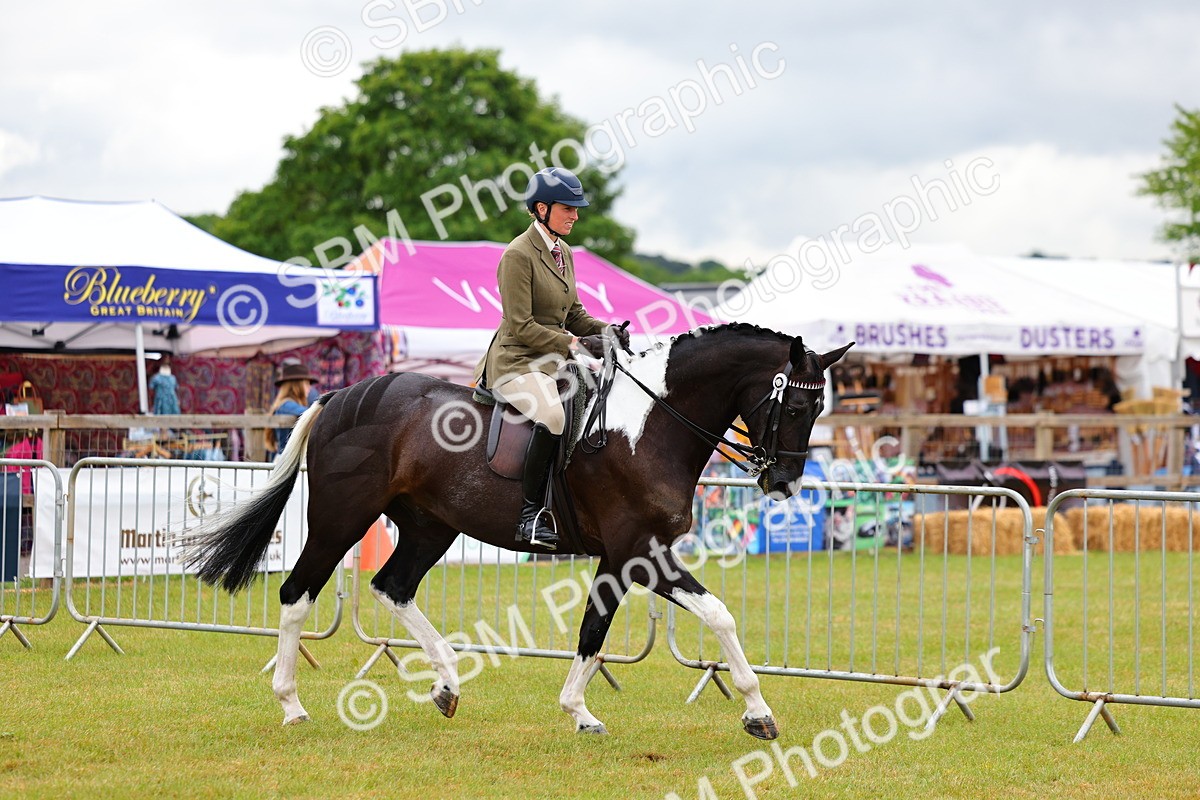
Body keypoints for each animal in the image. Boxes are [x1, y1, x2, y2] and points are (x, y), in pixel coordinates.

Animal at [181, 323, 852, 739]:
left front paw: (581, 711)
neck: (652, 424)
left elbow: (596, 631)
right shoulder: (640, 552)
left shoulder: (624, 557)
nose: (784, 482)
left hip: (430, 526)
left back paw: (447, 684)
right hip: (339, 519)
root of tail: (342, 394)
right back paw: (292, 705)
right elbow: (713, 616)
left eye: (820, 408)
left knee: (393, 587)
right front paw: (756, 712)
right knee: (298, 595)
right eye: (796, 406)